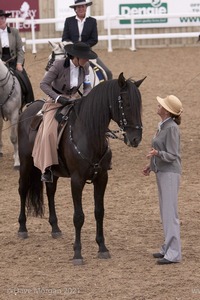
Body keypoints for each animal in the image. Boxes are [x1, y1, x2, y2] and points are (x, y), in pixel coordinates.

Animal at [17, 72, 145, 264]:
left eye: (139, 105)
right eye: (126, 103)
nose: (135, 138)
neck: (89, 134)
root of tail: (28, 110)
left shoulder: (102, 178)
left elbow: (99, 212)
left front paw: (102, 247)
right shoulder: (77, 181)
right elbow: (78, 216)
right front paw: (77, 253)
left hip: (52, 171)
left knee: (50, 192)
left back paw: (55, 228)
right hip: (26, 164)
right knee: (23, 190)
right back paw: (22, 228)